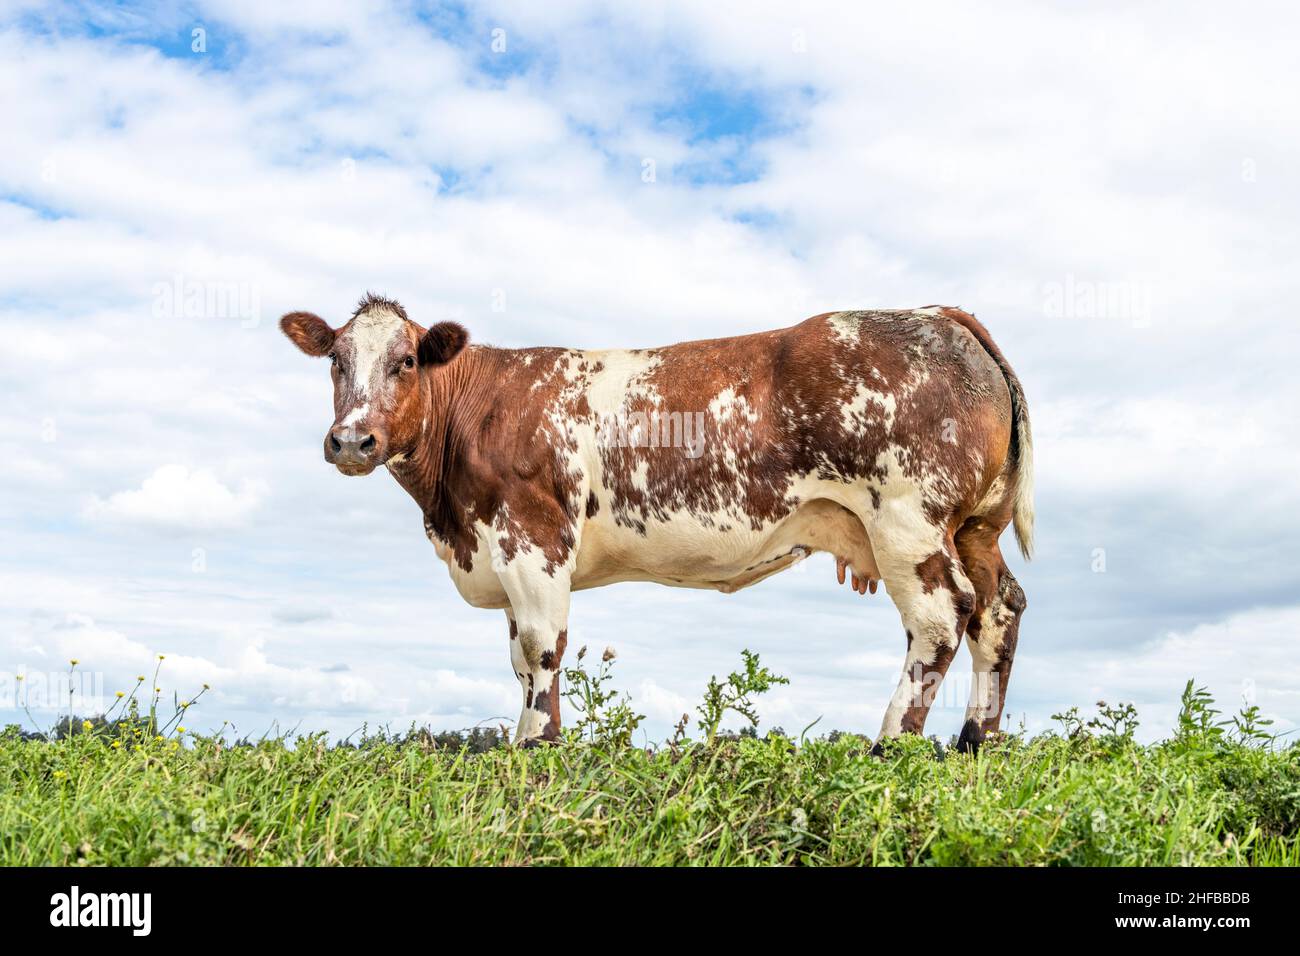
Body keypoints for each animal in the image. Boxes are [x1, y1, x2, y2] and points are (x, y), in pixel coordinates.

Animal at [281, 294, 1033, 753]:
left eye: (405, 360)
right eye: (336, 361)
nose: (351, 441)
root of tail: (937, 314)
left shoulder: (533, 539)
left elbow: (541, 648)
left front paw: (536, 748)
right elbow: (521, 658)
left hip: (909, 520)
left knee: (942, 617)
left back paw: (890, 743)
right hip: (974, 527)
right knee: (998, 608)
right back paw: (976, 742)